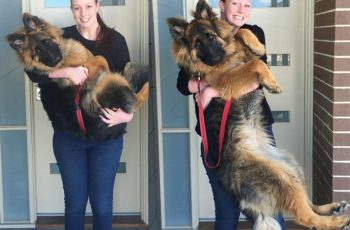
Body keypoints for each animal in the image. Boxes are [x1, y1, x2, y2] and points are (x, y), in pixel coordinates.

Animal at [6, 13, 148, 141]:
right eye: (38, 51)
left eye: (46, 41)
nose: (56, 60)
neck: (65, 58)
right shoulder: (86, 66)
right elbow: (101, 58)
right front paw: (106, 69)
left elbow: (100, 58)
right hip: (108, 83)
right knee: (136, 98)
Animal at [167, 0, 350, 229]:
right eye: (197, 43)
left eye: (210, 36)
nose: (217, 57)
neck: (227, 57)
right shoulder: (225, 80)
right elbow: (256, 63)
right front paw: (272, 83)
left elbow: (244, 35)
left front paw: (257, 46)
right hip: (282, 177)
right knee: (304, 216)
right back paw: (337, 220)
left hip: (291, 166)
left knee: (308, 204)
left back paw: (333, 208)